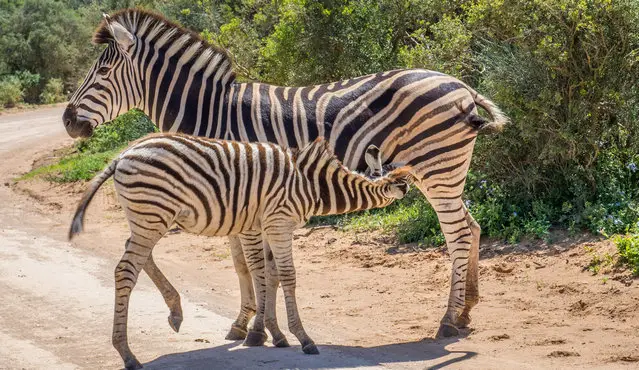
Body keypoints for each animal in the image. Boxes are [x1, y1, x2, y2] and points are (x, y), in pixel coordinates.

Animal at [62, 8, 508, 338]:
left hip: (437, 169)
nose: (68, 122)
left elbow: (257, 265)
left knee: (458, 234)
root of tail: (462, 86)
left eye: (102, 73)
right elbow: (247, 265)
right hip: (445, 173)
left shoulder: (243, 191)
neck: (212, 112)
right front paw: (248, 324)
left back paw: (447, 321)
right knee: (472, 227)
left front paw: (258, 327)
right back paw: (465, 311)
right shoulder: (240, 197)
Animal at [67, 133, 412, 368]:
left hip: (147, 216)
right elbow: (286, 276)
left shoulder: (264, 224)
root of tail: (123, 155)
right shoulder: (278, 222)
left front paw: (273, 333)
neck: (311, 185)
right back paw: (127, 353)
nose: (409, 187)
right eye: (398, 180)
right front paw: (301, 337)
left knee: (138, 258)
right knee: (126, 269)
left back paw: (174, 311)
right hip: (153, 214)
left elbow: (269, 275)